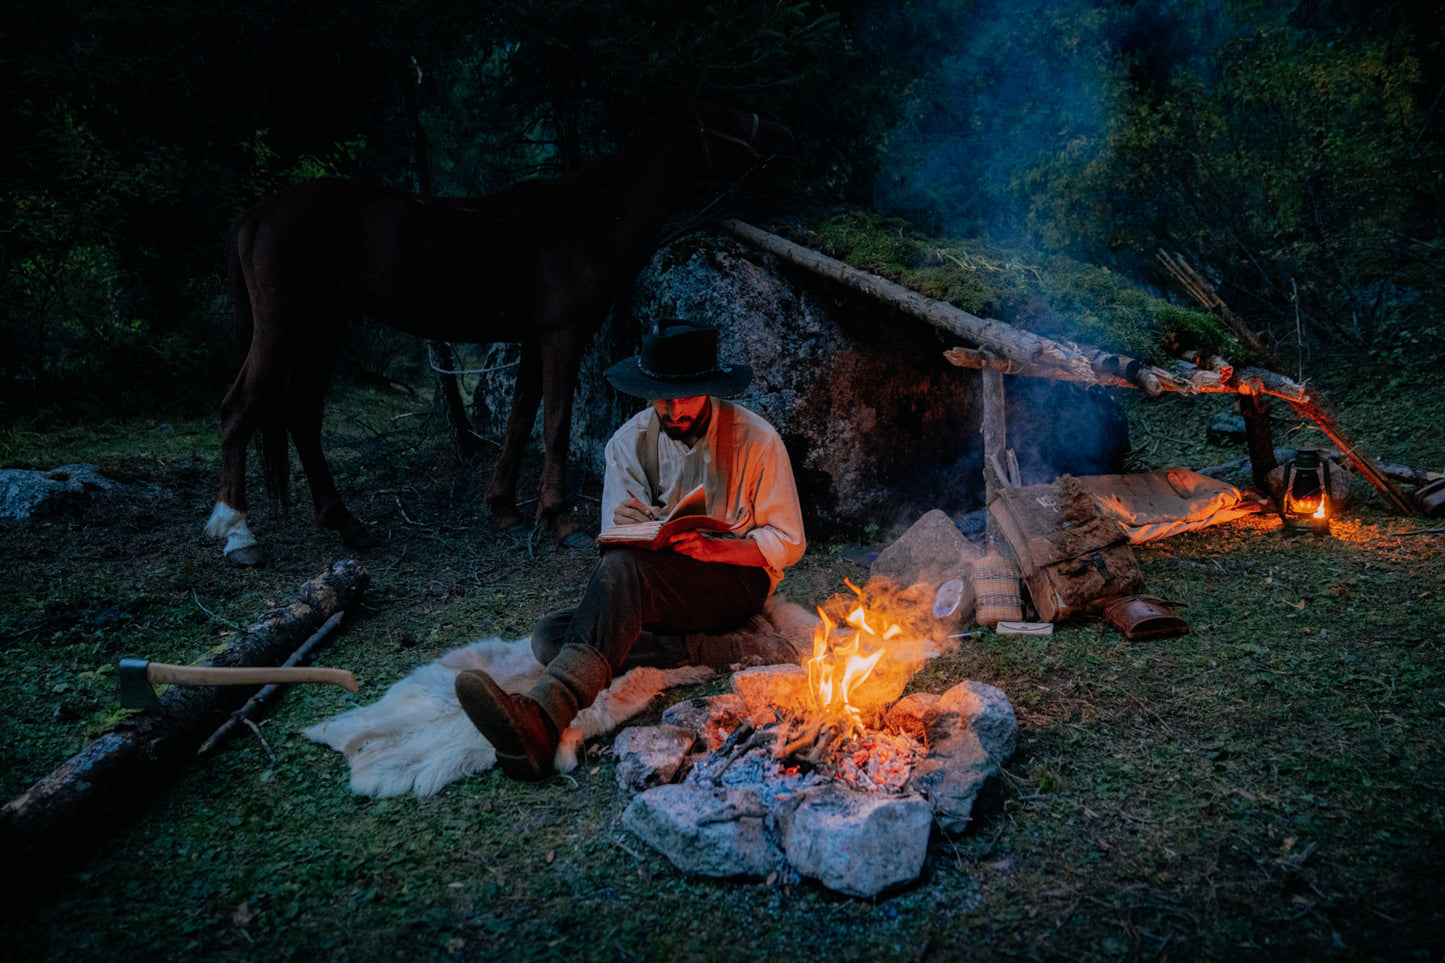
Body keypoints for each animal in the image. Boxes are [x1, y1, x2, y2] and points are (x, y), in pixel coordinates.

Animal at [203, 103, 791, 563]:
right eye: (723, 115)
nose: (782, 137)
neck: (589, 219)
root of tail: (258, 213)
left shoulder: (532, 340)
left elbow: (520, 419)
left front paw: (503, 507)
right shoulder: (561, 335)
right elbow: (554, 423)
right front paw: (558, 518)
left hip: (322, 332)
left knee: (302, 417)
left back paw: (347, 525)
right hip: (284, 329)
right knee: (239, 409)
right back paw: (237, 532)